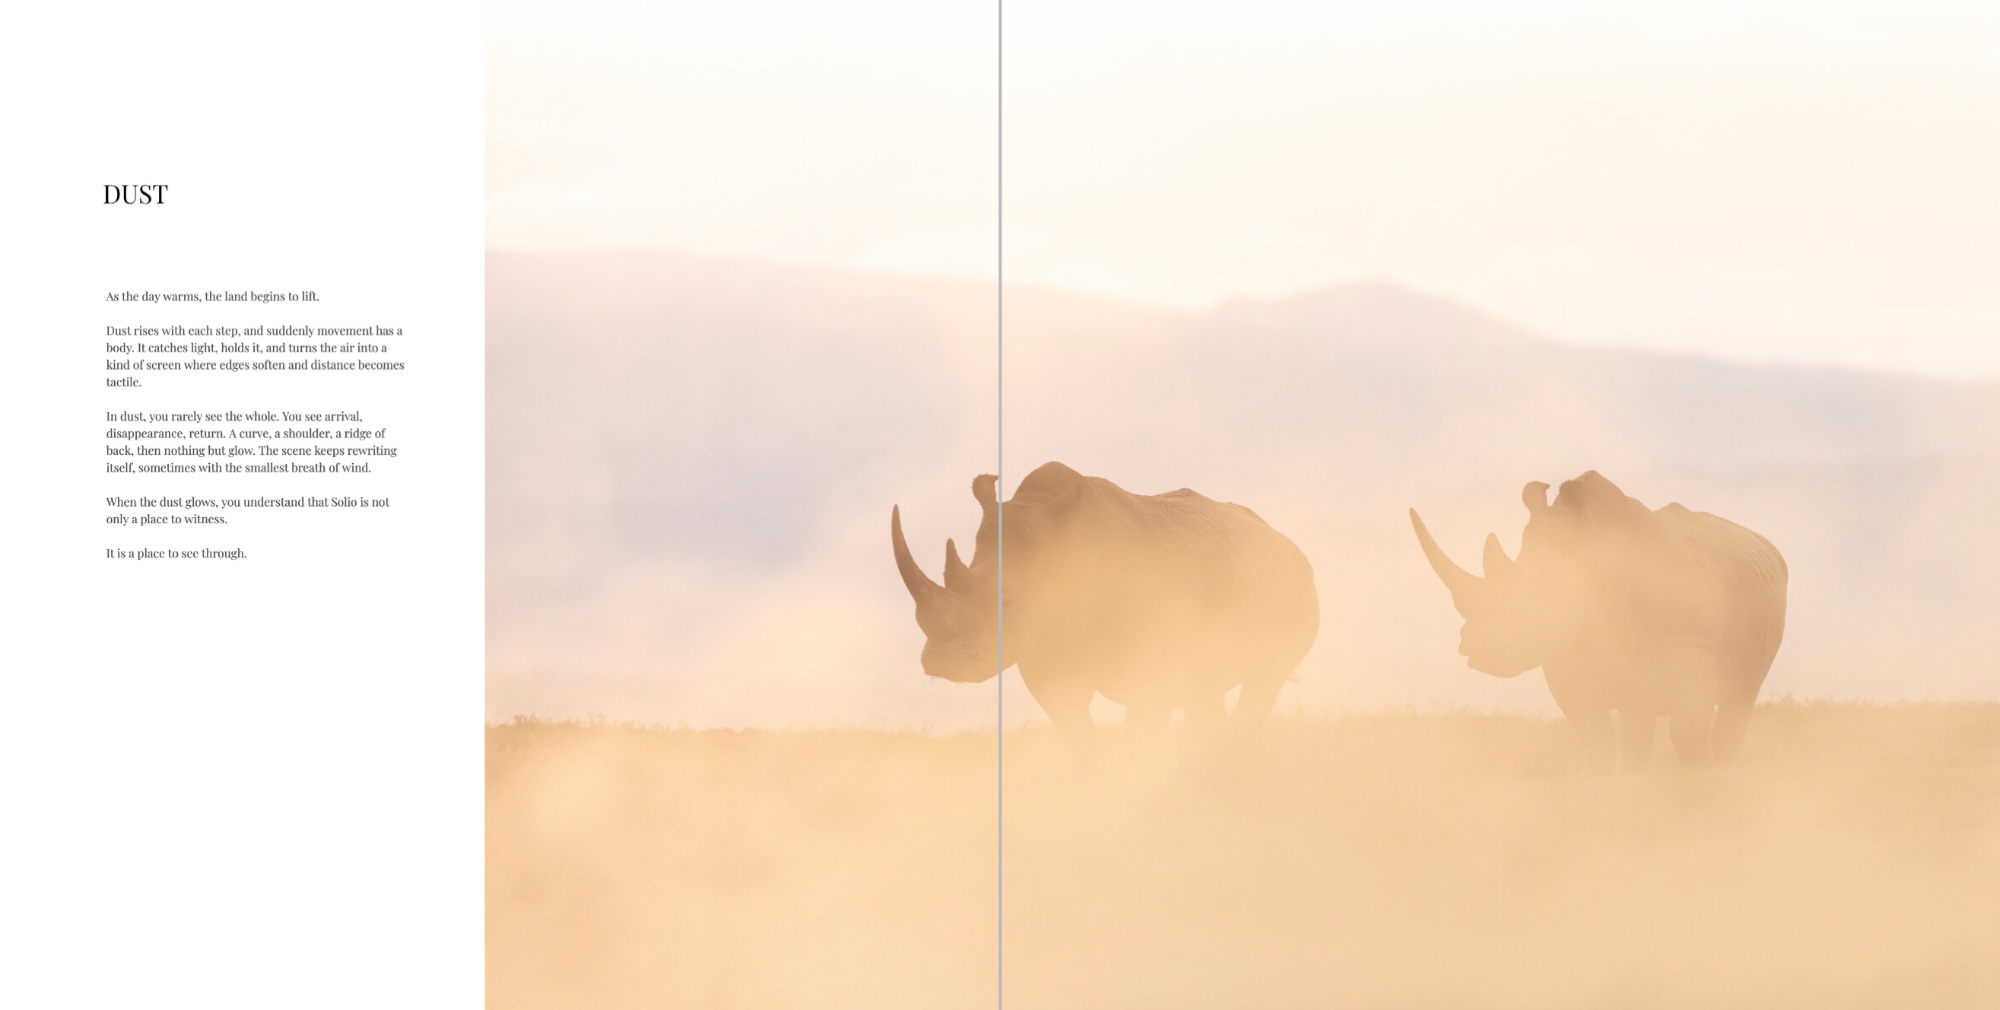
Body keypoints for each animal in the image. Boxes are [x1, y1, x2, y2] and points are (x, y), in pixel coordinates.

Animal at [892, 462, 1320, 738]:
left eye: (1007, 603)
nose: (943, 662)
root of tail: (1285, 541)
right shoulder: (1046, 655)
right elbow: (1079, 735)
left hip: (1300, 592)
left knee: (1265, 679)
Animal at [1410, 471, 1787, 768]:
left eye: (1543, 594)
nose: (1473, 647)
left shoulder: (1690, 642)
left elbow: (1689, 735)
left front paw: (1704, 781)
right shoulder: (1568, 657)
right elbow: (1597, 738)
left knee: (1739, 698)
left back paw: (1725, 763)